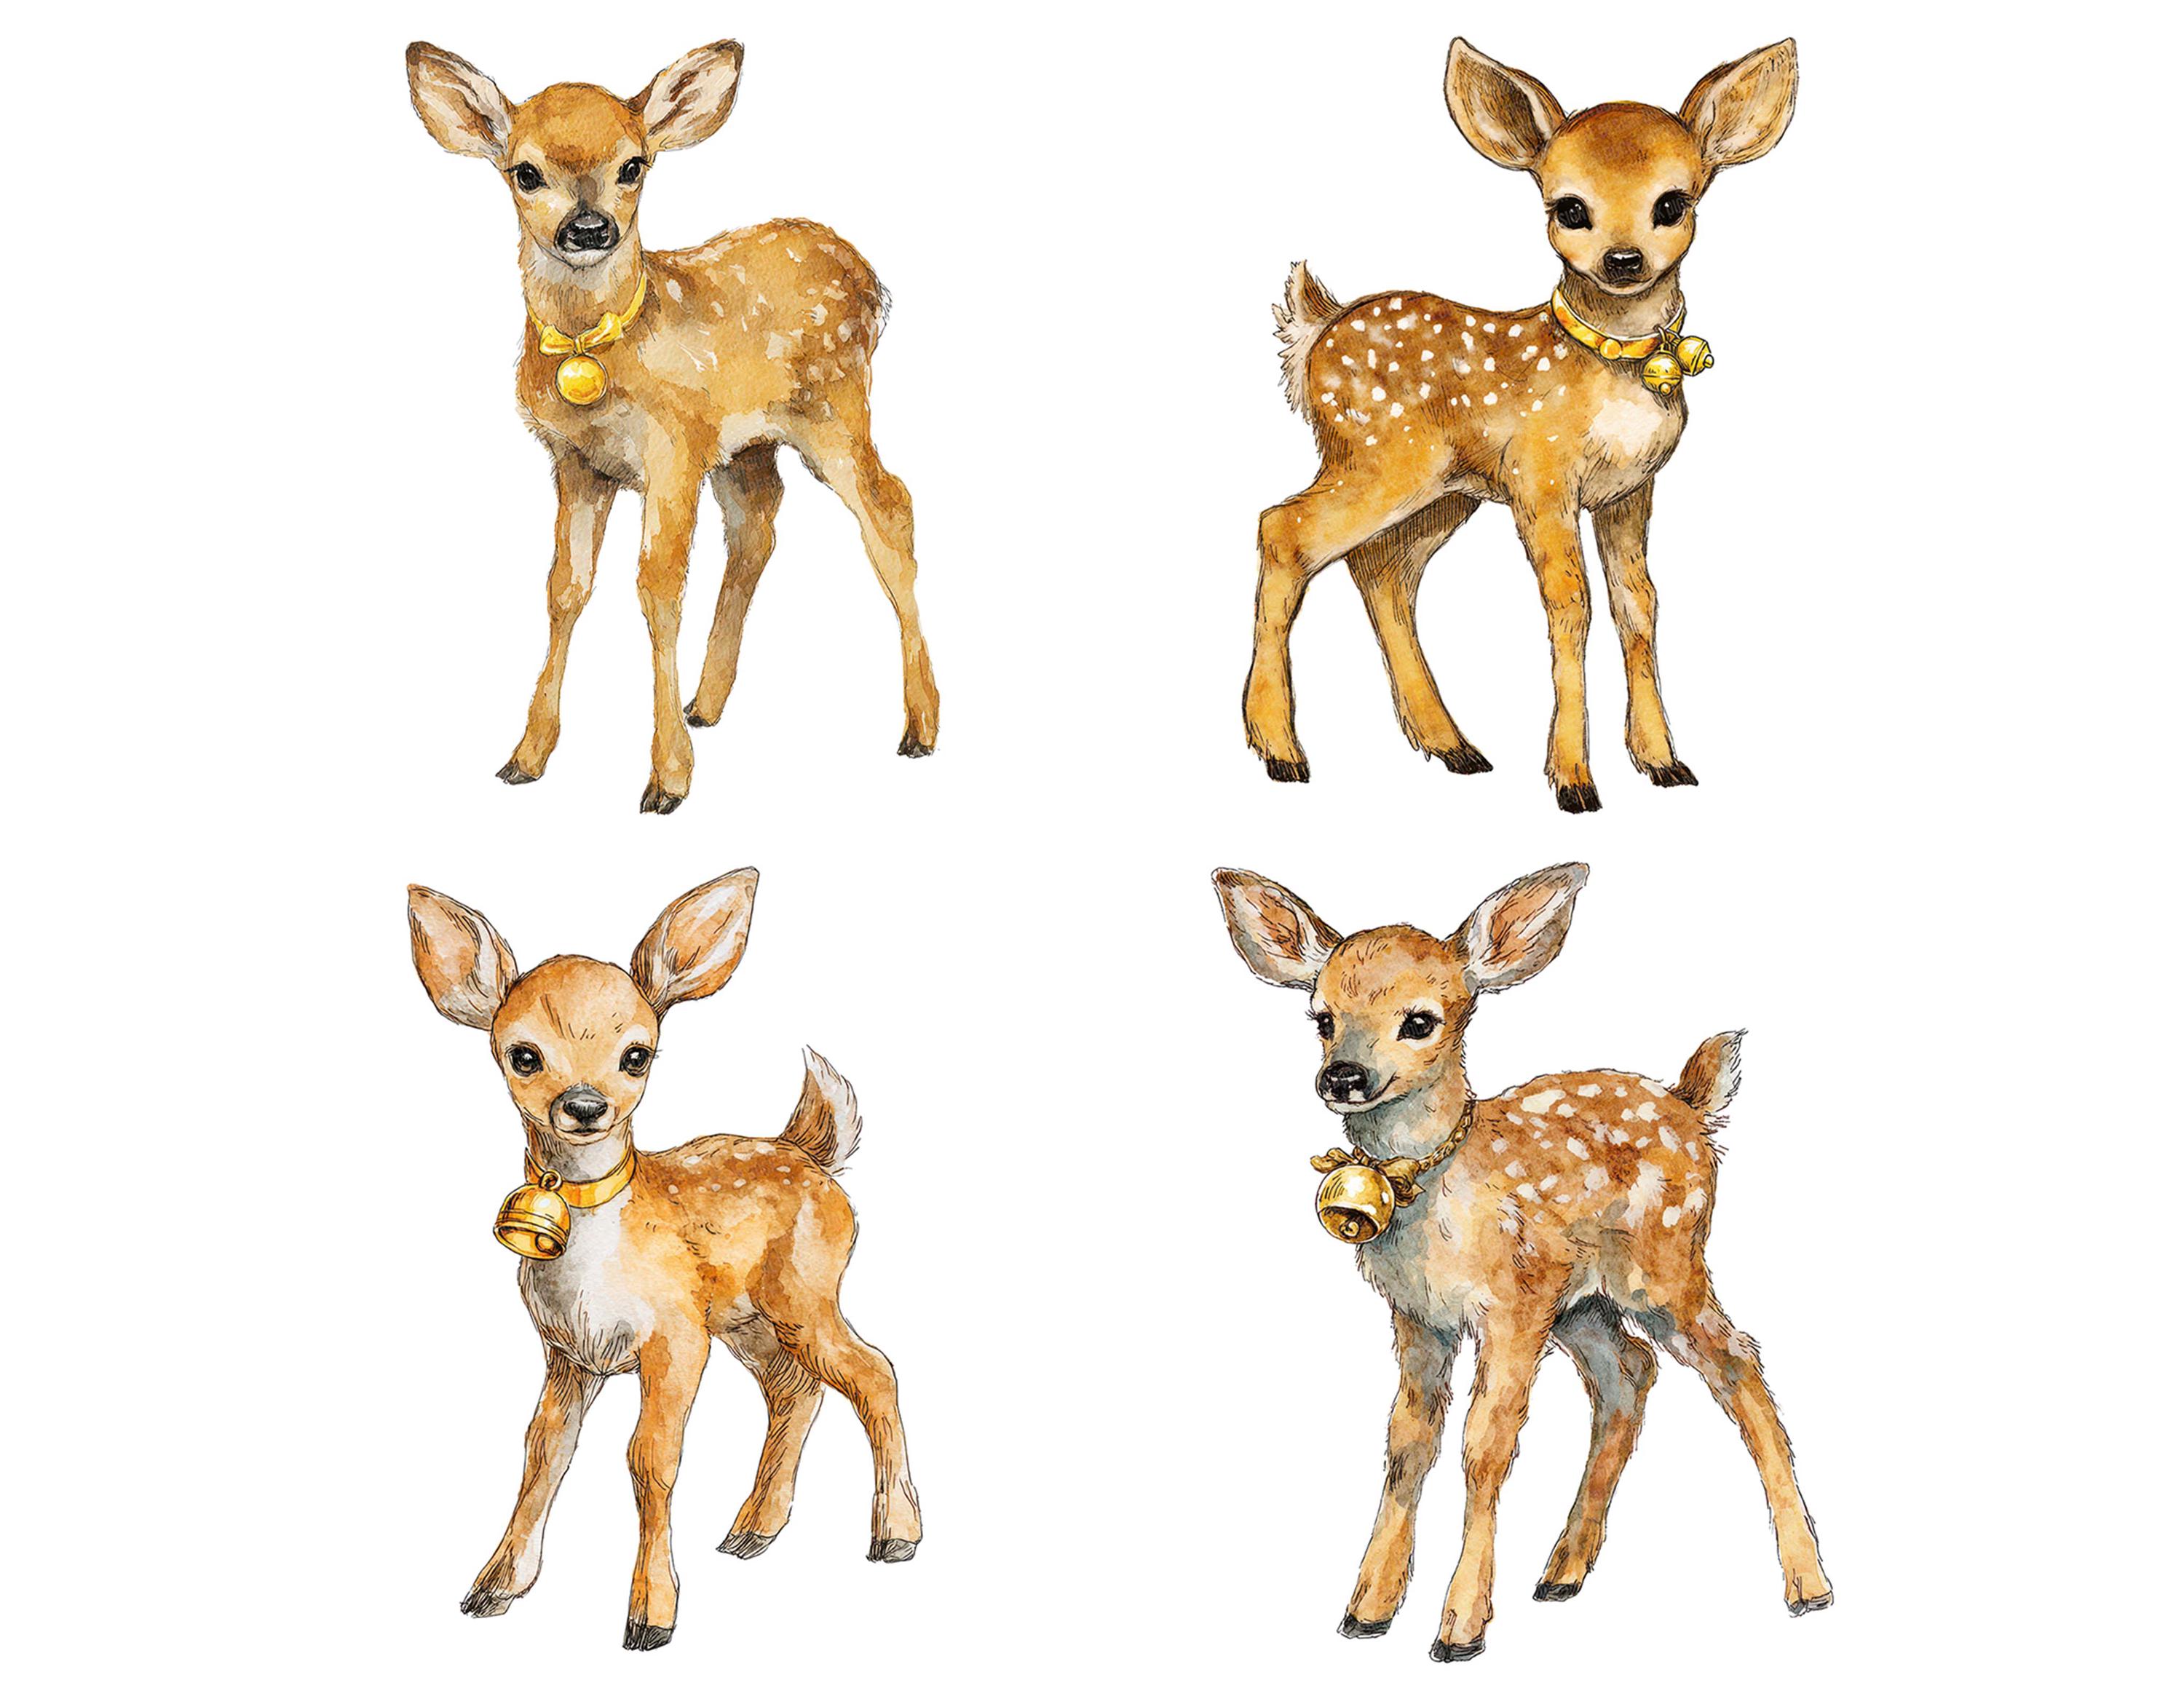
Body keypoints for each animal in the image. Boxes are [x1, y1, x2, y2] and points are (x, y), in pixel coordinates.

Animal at [405, 41, 938, 815]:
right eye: (524, 171)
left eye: (634, 165)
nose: (589, 229)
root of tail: (873, 280)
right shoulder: (577, 462)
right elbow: (565, 587)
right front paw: (526, 756)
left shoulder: (674, 448)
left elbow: (657, 587)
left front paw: (667, 779)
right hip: (748, 442)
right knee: (758, 525)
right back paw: (707, 703)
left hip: (835, 405)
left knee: (890, 508)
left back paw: (920, 726)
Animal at [407, 870, 921, 1650]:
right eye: (523, 1053)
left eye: (636, 1053)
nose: (584, 1104)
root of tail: (813, 1152)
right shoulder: (569, 1352)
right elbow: (542, 1453)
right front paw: (494, 1586)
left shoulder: (675, 1335)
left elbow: (649, 1458)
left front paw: (651, 1614)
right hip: (745, 1319)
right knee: (796, 1388)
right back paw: (752, 1531)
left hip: (804, 1292)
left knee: (873, 1370)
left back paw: (894, 1534)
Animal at [1213, 862, 1829, 1660]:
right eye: (1321, 1017)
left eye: (1420, 1020)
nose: (1343, 1076)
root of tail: (1692, 1107)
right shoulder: (1421, 1316)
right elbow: (1408, 1441)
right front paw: (1367, 1609)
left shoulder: (1508, 1303)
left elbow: (1485, 1443)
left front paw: (1460, 1627)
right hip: (1580, 1302)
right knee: (1630, 1372)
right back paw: (1563, 1570)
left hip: (1665, 1268)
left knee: (1738, 1363)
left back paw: (1808, 1584)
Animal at [1244, 39, 1798, 811]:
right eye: (1569, 207)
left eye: (1672, 202)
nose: (1623, 259)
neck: (1608, 365)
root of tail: (1315, 331)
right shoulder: (1543, 475)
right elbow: (1571, 604)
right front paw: (1573, 781)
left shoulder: (1630, 490)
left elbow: (1639, 604)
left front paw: (1663, 762)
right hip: (1379, 456)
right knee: (1285, 529)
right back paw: (1281, 751)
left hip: (1444, 490)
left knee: (1382, 570)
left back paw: (1452, 746)